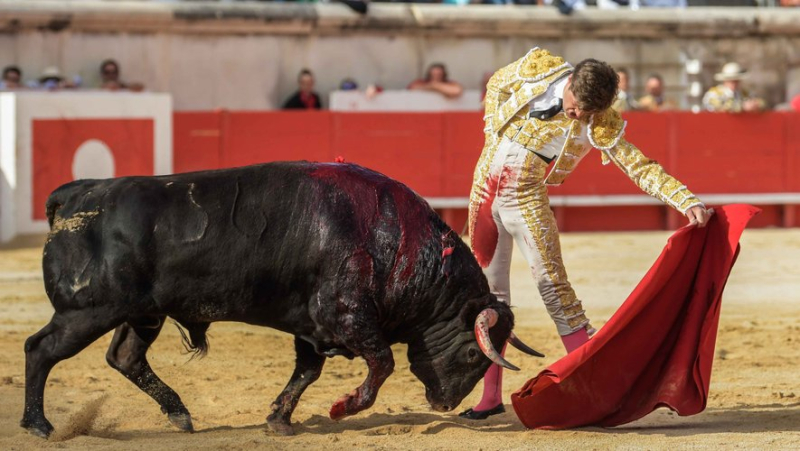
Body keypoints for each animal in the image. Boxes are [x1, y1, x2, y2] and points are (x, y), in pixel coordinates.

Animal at [21, 162, 540, 438]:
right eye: (473, 353)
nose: (445, 404)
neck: (401, 246)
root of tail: (75, 195)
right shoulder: (346, 316)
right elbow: (382, 364)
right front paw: (342, 408)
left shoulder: (312, 328)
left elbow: (306, 373)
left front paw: (279, 420)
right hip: (85, 311)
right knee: (40, 350)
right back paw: (38, 424)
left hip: (142, 314)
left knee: (125, 357)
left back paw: (180, 414)